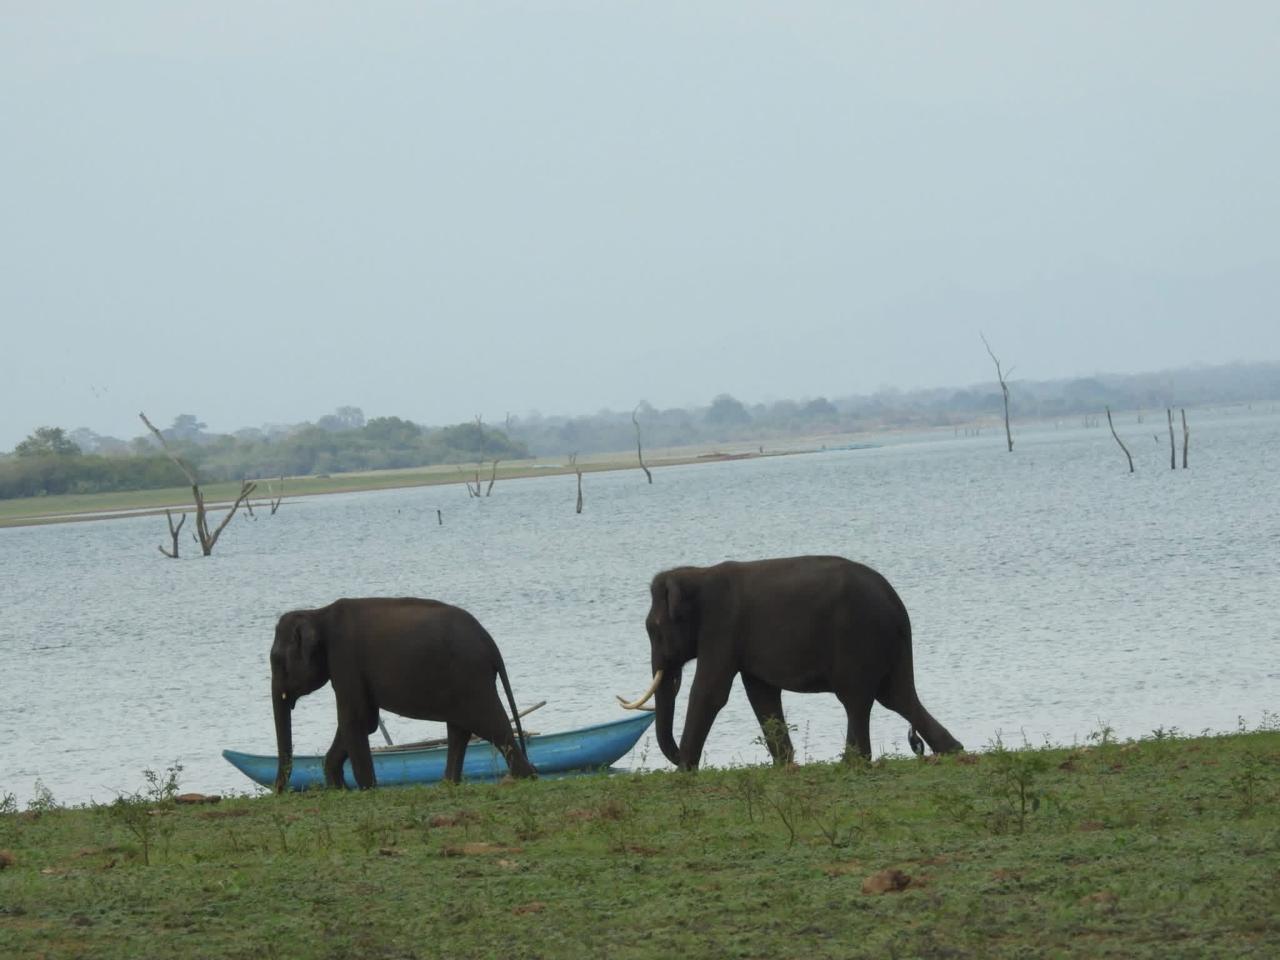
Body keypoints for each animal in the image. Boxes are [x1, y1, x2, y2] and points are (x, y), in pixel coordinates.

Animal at [270, 597, 537, 791]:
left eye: (276, 661)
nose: (280, 791)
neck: (317, 614)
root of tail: (489, 642)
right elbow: (365, 721)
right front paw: (340, 788)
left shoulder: (345, 660)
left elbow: (354, 720)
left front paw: (368, 790)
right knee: (460, 730)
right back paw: (449, 784)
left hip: (471, 677)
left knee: (491, 725)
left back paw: (527, 776)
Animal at [618, 556, 963, 770]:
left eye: (654, 629)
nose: (679, 757)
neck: (696, 574)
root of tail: (895, 602)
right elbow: (761, 694)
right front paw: (785, 764)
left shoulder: (722, 625)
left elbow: (709, 692)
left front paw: (685, 771)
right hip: (889, 645)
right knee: (897, 696)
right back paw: (952, 751)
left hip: (857, 638)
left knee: (856, 699)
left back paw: (853, 762)